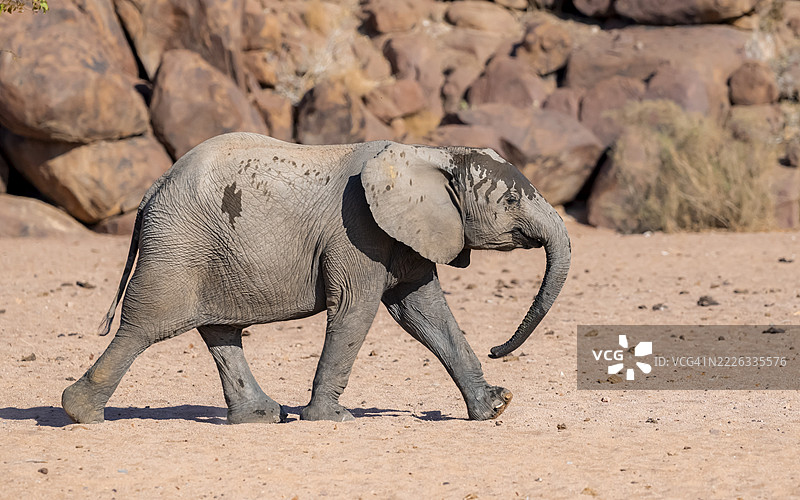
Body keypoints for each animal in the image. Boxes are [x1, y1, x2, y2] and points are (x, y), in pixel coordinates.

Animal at [61, 132, 571, 424]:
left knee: (219, 331)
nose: (498, 349)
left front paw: (496, 407)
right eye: (510, 201)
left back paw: (262, 417)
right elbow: (355, 310)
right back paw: (80, 413)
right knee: (144, 325)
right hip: (178, 246)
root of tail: (153, 188)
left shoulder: (407, 233)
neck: (431, 151)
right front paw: (332, 418)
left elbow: (425, 313)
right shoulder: (357, 230)